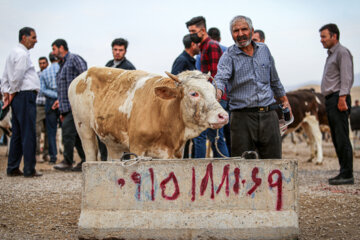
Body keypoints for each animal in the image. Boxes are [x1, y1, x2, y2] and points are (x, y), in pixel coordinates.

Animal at [67, 67, 228, 161]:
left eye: (214, 92)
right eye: (194, 93)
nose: (223, 116)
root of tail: (82, 75)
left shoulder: (176, 153)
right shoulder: (137, 148)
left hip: (114, 142)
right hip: (83, 128)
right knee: (90, 153)